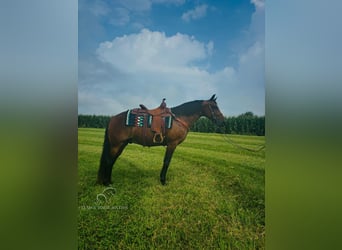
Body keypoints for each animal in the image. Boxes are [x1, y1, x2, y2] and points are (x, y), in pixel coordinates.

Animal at [96, 94, 224, 186]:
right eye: (214, 107)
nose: (222, 121)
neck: (179, 118)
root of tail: (112, 118)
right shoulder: (172, 144)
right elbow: (167, 162)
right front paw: (163, 180)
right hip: (116, 145)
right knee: (109, 161)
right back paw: (106, 183)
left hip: (121, 144)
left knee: (112, 160)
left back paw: (109, 181)